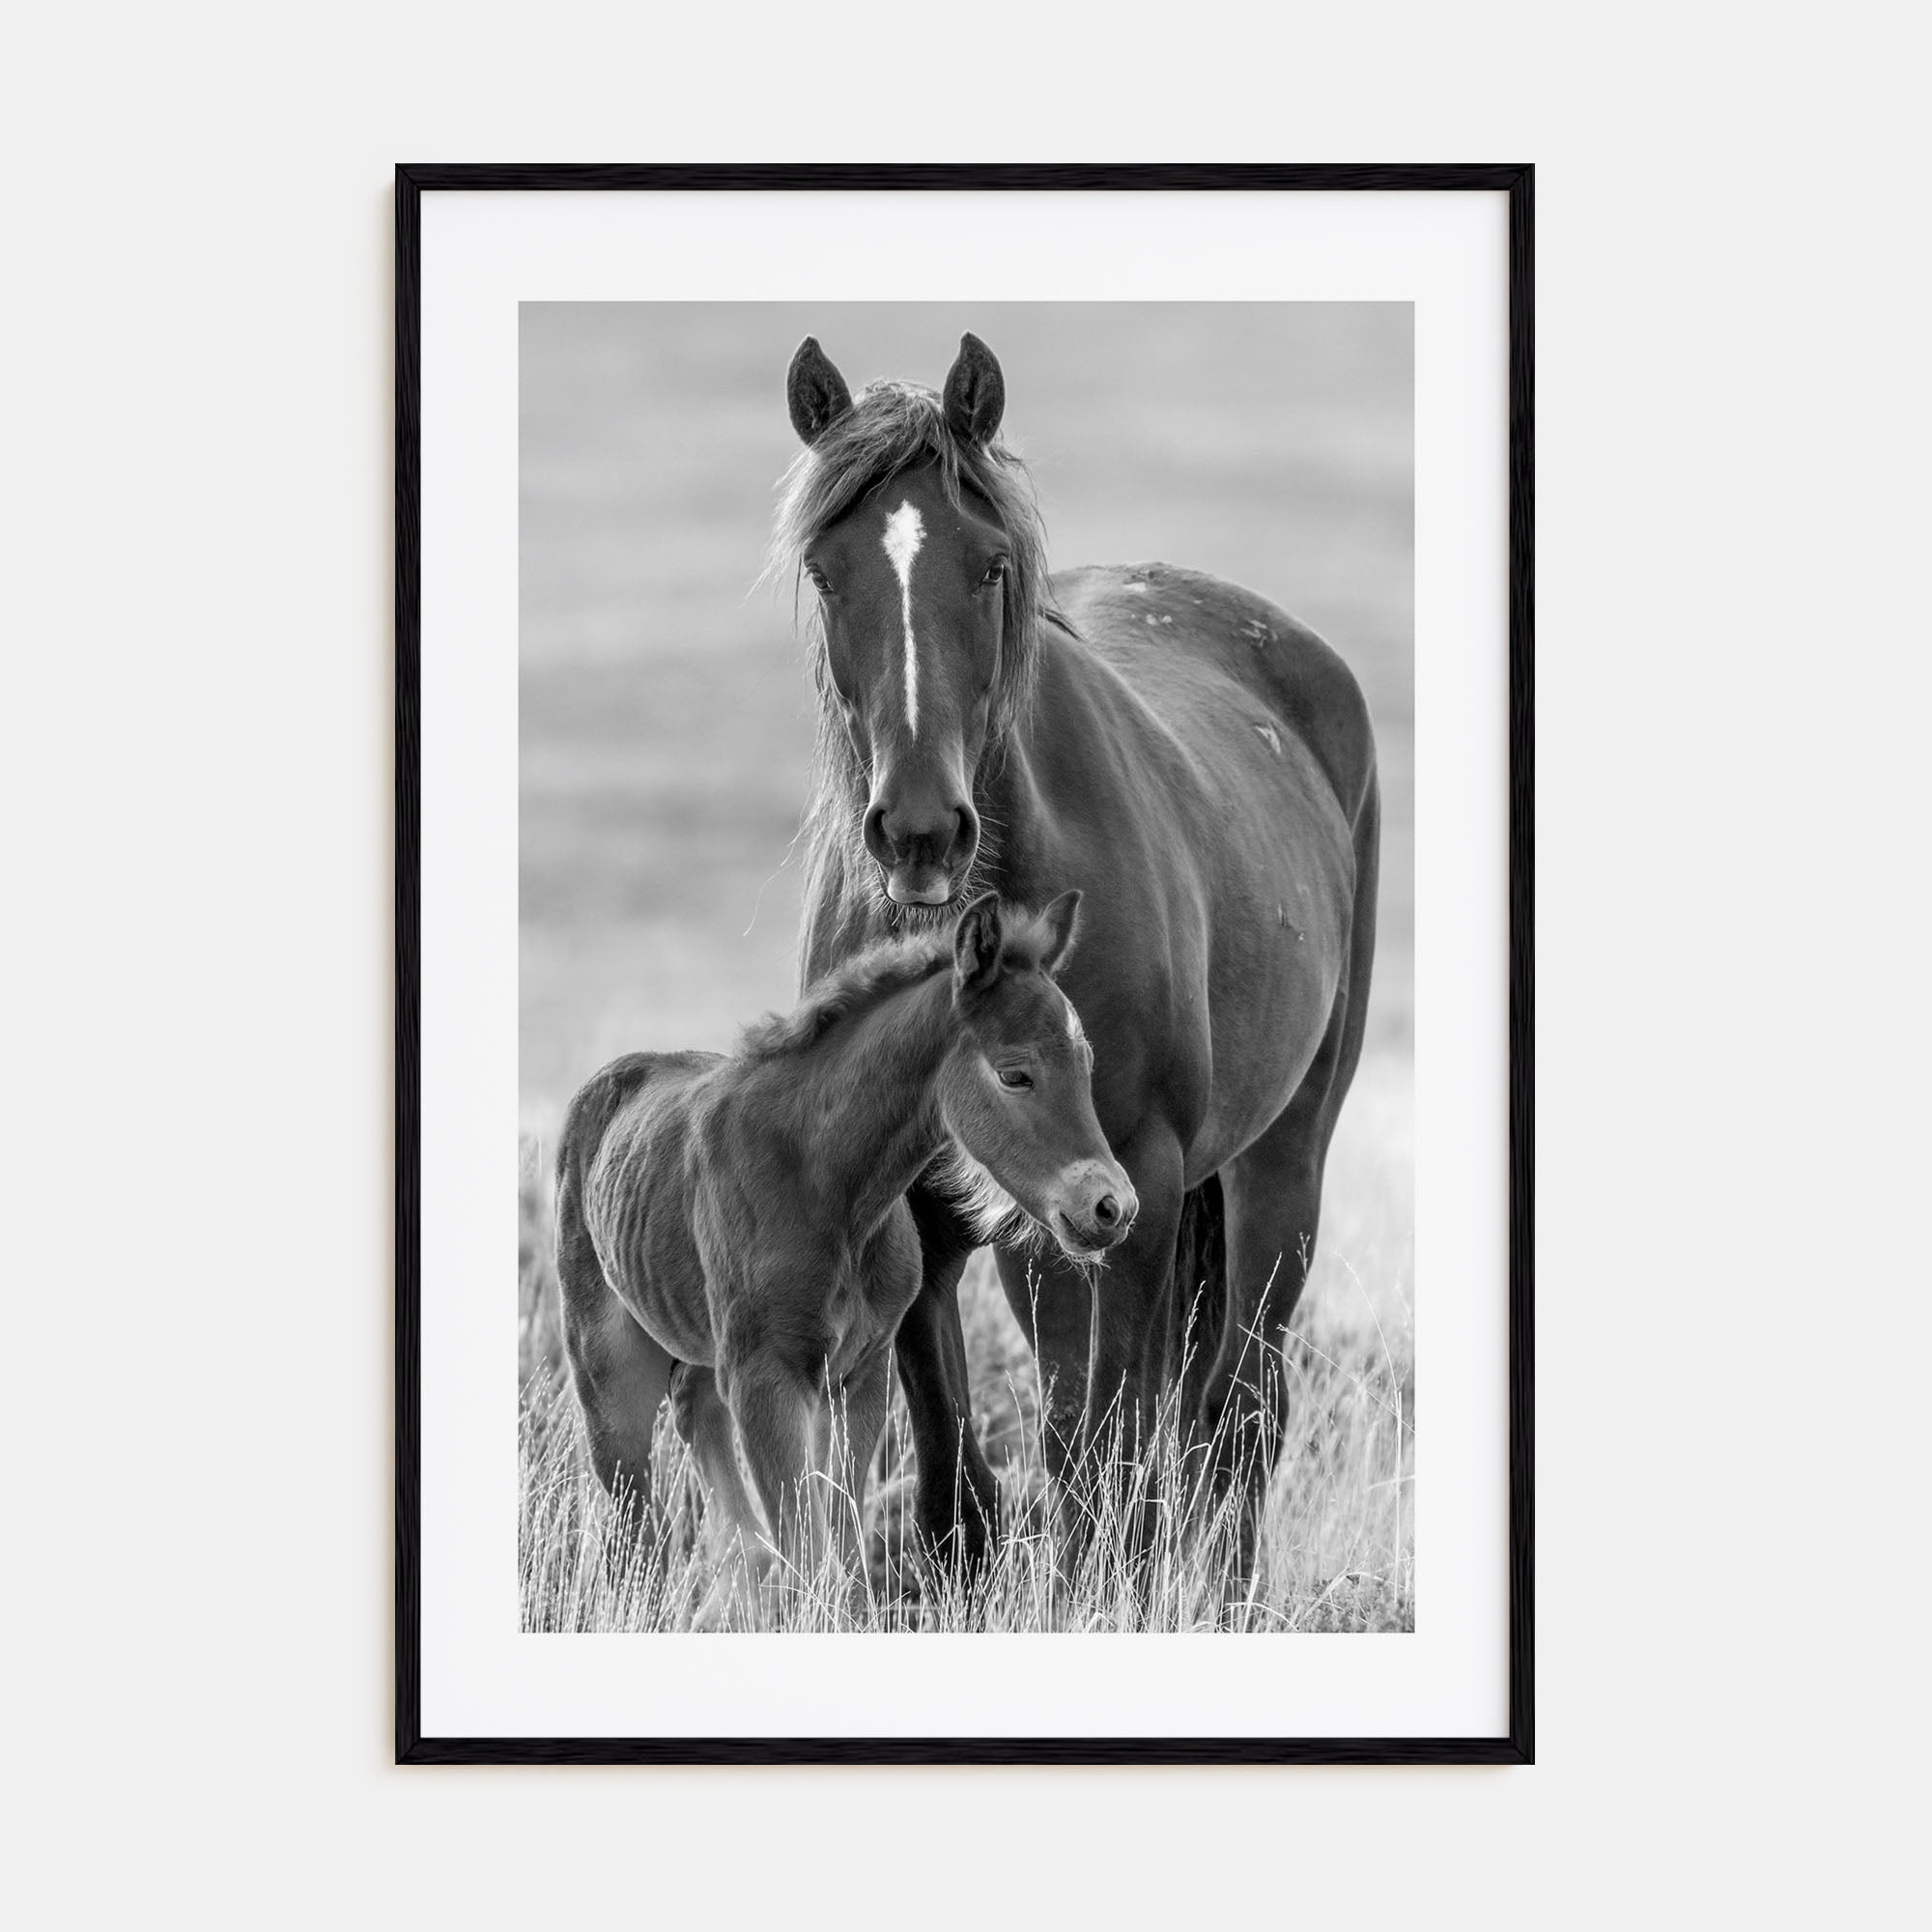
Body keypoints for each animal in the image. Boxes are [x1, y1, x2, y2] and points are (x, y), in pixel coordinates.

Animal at [552, 890, 1134, 1605]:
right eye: (1015, 1074)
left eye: (1085, 1066)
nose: (1111, 1207)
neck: (830, 1190)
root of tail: (605, 1086)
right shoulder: (765, 1376)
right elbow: (809, 1555)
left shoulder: (861, 1373)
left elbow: (845, 1554)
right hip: (606, 1366)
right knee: (633, 1506)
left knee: (696, 1416)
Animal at [775, 332, 1380, 1573]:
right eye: (825, 570)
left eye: (990, 565)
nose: (919, 830)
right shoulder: (917, 1212)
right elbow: (955, 1468)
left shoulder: (1117, 1189)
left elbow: (1097, 1454)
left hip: (1275, 1164)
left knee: (1236, 1411)